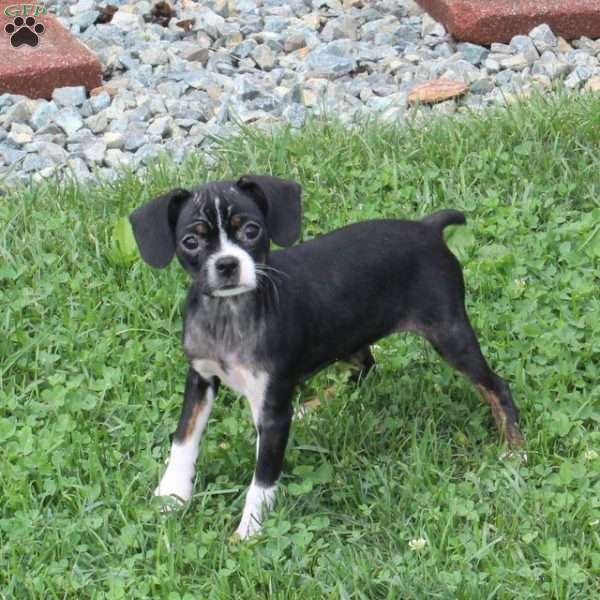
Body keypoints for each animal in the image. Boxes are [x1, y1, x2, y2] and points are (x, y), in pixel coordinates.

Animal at [129, 173, 524, 540]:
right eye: (190, 242)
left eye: (252, 231)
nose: (227, 264)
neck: (229, 316)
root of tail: (427, 228)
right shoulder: (200, 377)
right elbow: (184, 438)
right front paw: (171, 495)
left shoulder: (272, 412)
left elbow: (262, 479)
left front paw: (249, 532)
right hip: (345, 339)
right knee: (367, 366)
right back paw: (311, 408)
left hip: (449, 336)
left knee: (496, 386)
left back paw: (515, 449)